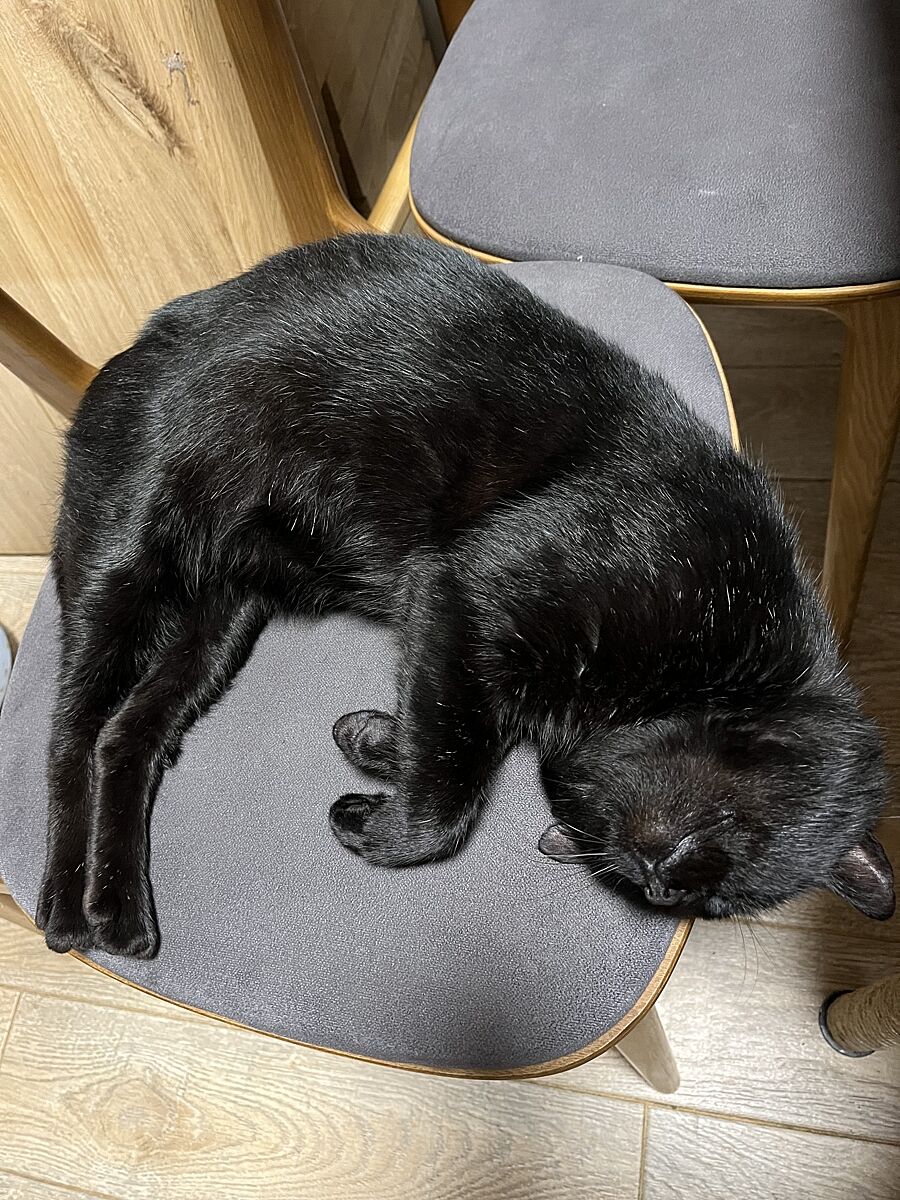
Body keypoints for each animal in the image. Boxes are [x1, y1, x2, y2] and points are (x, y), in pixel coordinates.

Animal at [36, 234, 894, 960]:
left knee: (128, 737)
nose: (657, 876)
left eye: (685, 898)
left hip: (221, 624)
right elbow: (446, 804)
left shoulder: (455, 648)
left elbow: (452, 740)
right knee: (72, 731)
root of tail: (154, 329)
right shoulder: (466, 589)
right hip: (121, 564)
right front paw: (371, 820)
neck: (722, 660)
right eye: (719, 841)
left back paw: (120, 907)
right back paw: (67, 904)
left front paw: (373, 740)